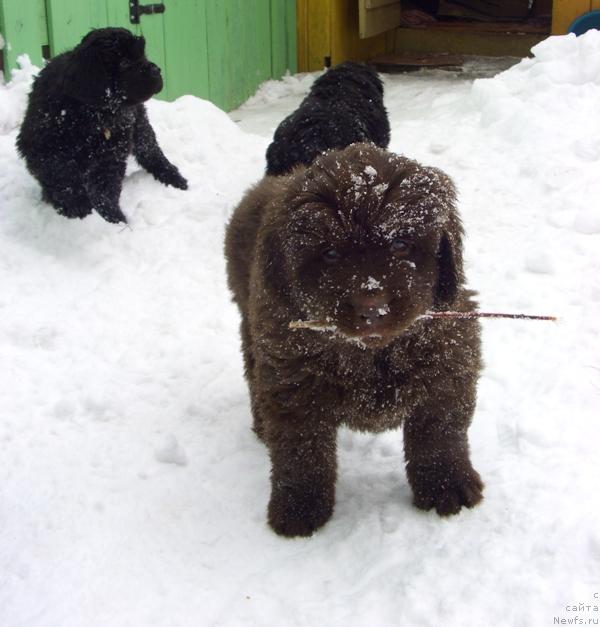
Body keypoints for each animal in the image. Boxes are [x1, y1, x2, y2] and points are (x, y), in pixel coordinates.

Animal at [17, 30, 186, 226]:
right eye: (125, 63)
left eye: (143, 55)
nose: (156, 70)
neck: (88, 113)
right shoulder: (43, 149)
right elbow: (63, 178)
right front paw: (77, 208)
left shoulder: (111, 153)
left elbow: (105, 188)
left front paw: (112, 218)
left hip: (139, 124)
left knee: (151, 151)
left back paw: (175, 178)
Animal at [225, 145, 482, 536]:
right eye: (330, 253)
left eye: (400, 243)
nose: (371, 307)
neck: (372, 354)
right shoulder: (292, 382)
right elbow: (302, 453)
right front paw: (299, 510)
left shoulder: (449, 363)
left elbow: (440, 435)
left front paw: (447, 487)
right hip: (253, 329)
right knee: (254, 377)